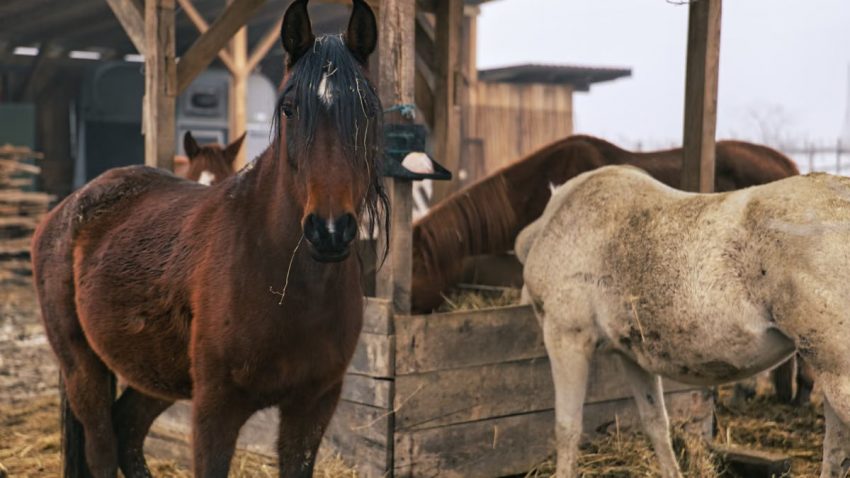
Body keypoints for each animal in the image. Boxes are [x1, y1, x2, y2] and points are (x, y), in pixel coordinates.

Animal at [30, 1, 386, 476]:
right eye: (289, 109)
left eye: (368, 110)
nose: (329, 230)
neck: (282, 281)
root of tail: (67, 208)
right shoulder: (215, 410)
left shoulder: (312, 407)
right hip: (81, 366)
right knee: (102, 448)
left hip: (156, 372)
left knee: (127, 430)